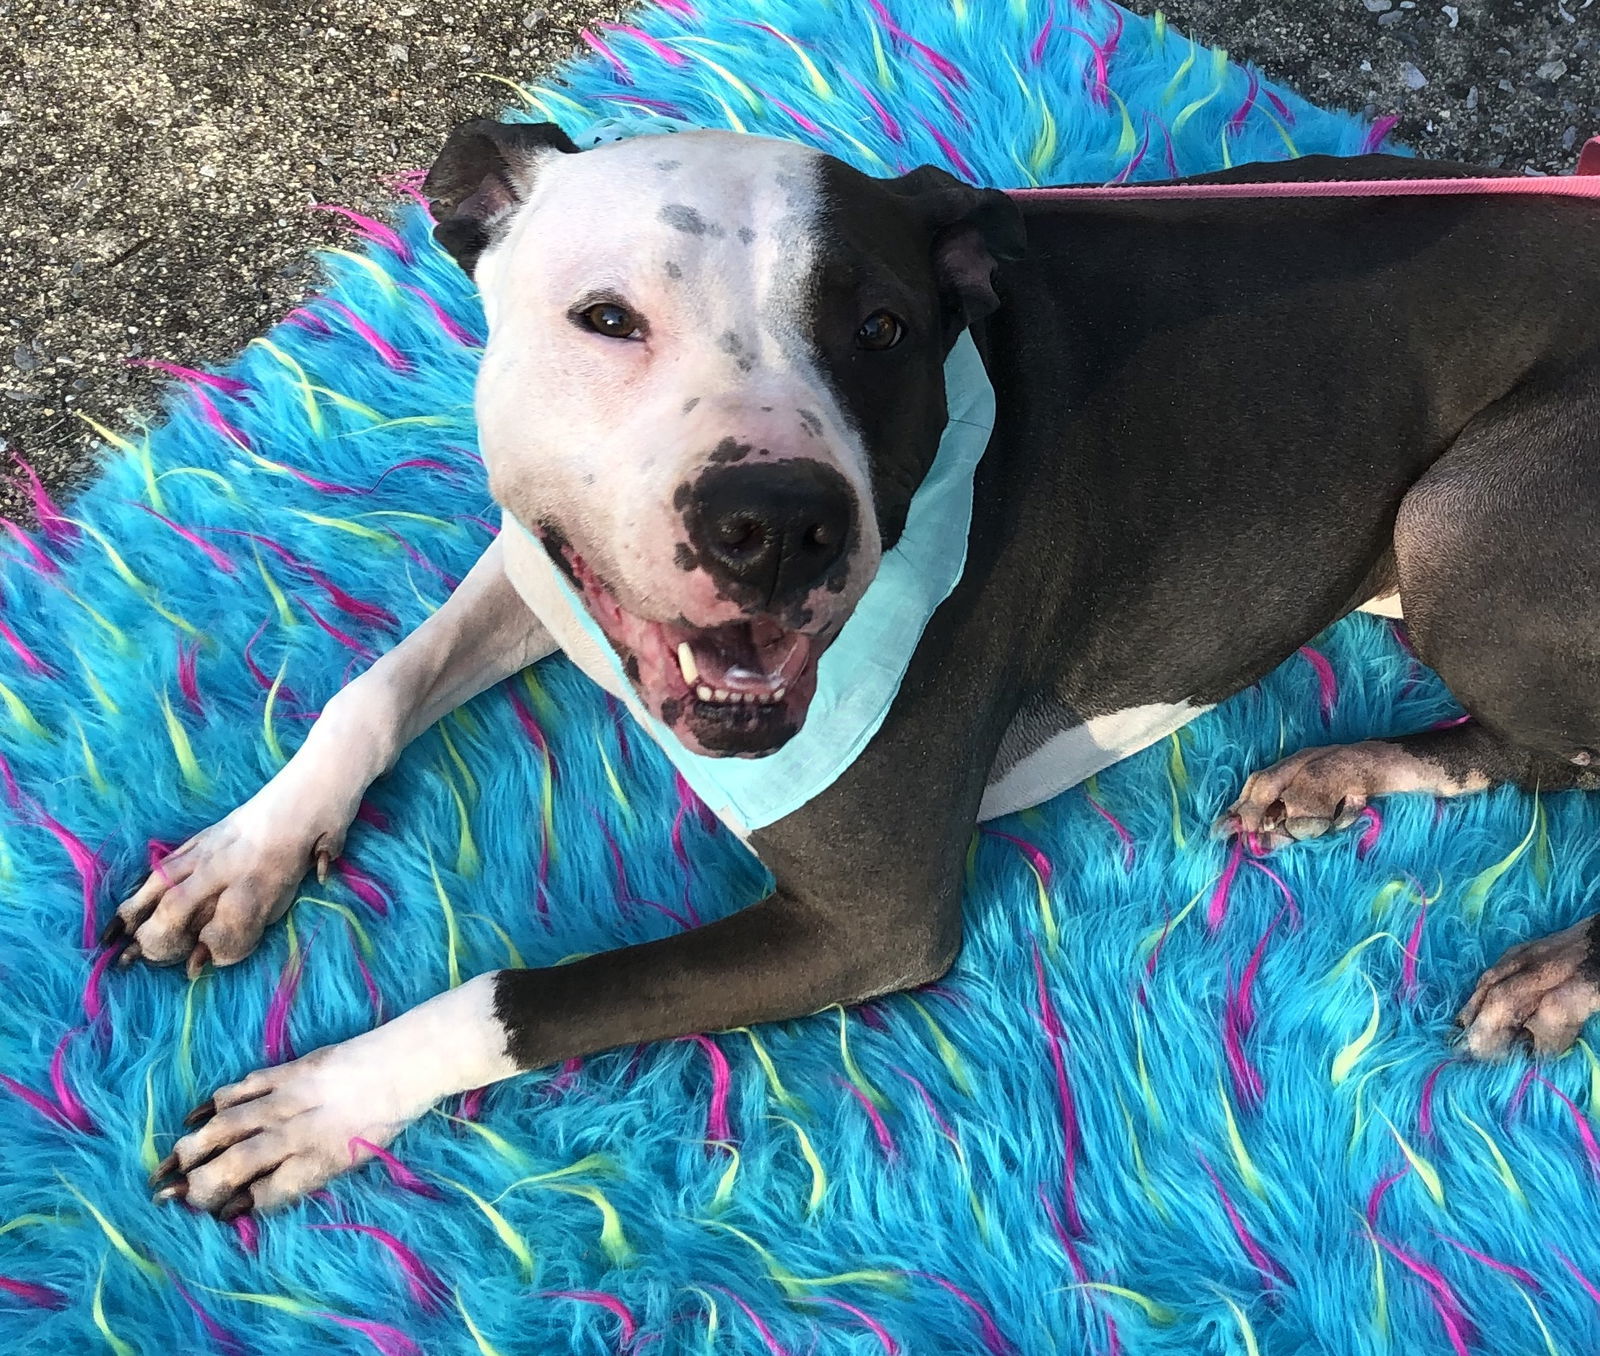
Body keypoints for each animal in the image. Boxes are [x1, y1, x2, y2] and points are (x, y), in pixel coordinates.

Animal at [109, 119, 1600, 1215]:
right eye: (605, 319)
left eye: (882, 329)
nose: (774, 520)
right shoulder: (554, 563)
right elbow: (376, 685)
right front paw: (245, 853)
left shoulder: (870, 921)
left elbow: (523, 995)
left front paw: (319, 1101)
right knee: (1531, 750)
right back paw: (1331, 774)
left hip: (1458, 517)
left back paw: (1553, 972)